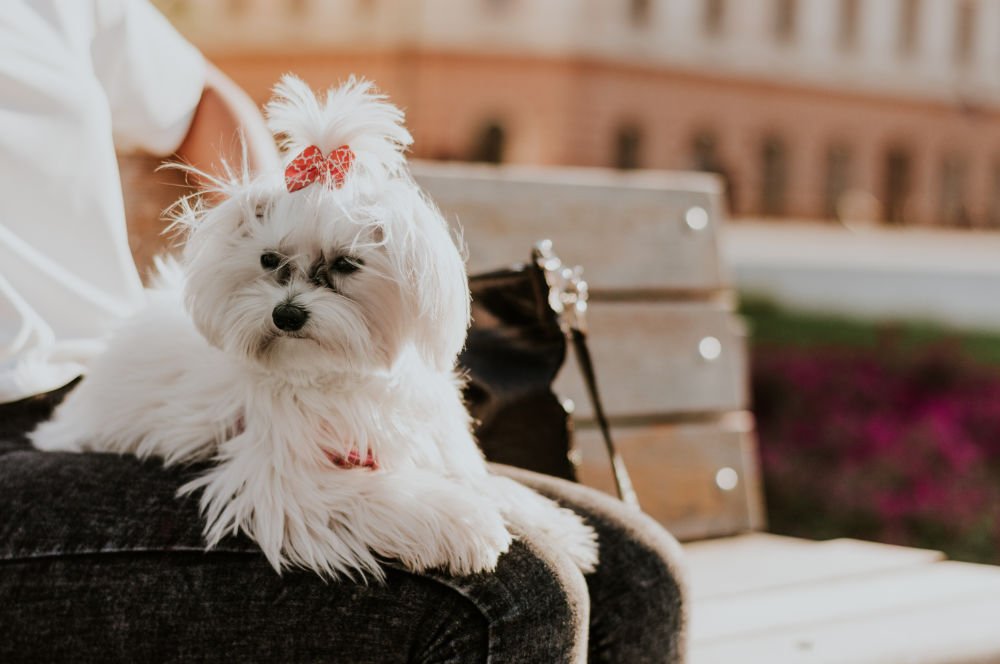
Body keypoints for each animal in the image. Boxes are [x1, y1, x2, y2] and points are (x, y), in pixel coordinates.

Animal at [31, 75, 596, 580]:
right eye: (268, 259)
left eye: (346, 264)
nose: (286, 314)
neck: (333, 375)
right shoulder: (286, 480)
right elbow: (384, 494)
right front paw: (465, 527)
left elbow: (483, 481)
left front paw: (556, 526)